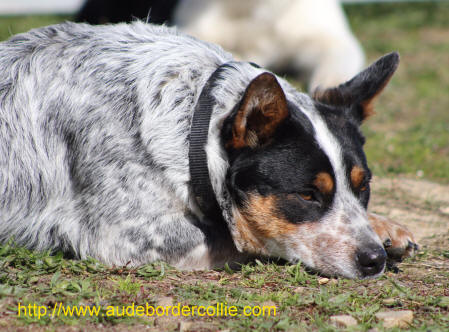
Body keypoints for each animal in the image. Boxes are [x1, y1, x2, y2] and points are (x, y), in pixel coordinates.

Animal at [0, 22, 416, 278]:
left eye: (364, 187)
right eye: (306, 195)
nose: (374, 259)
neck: (192, 128)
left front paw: (385, 226)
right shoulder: (121, 236)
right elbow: (242, 238)